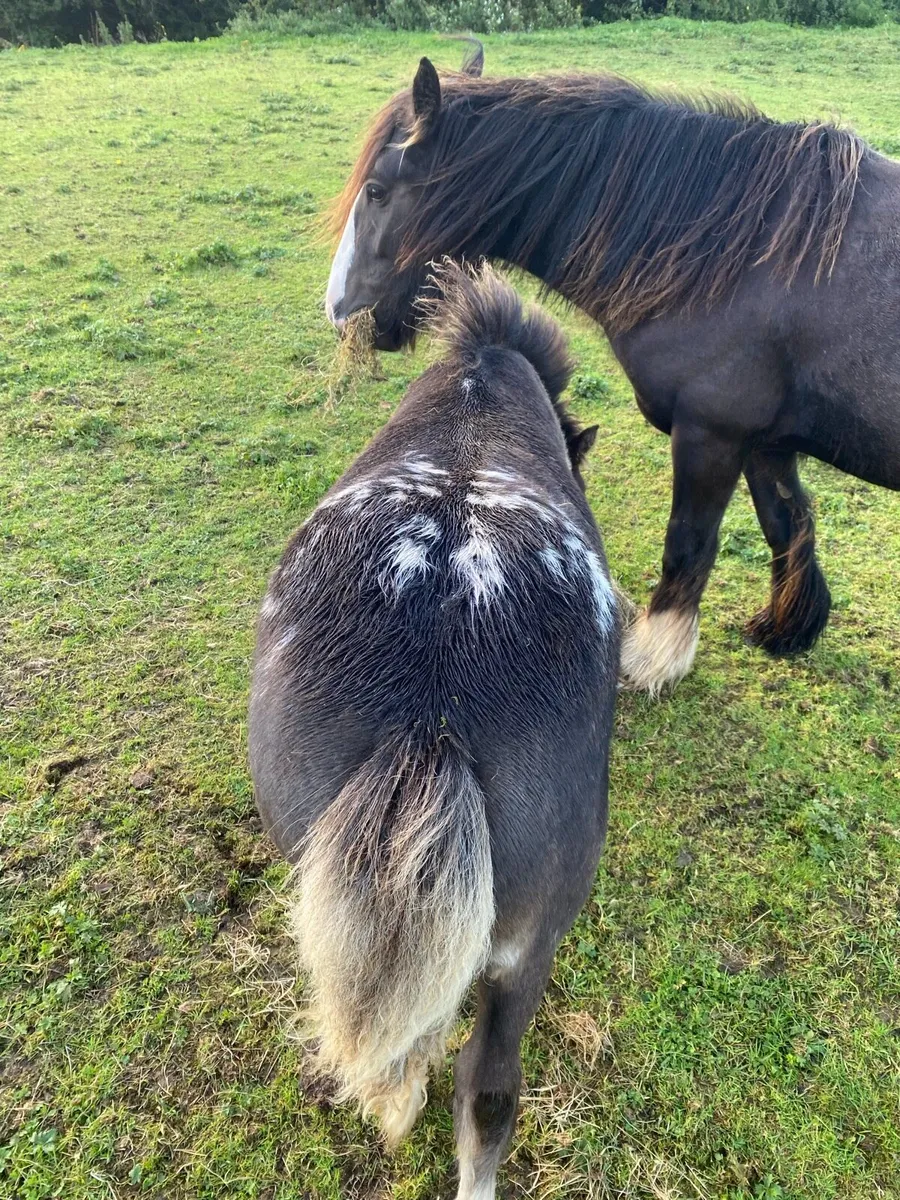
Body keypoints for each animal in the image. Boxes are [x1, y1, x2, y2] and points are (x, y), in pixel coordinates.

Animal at [324, 48, 900, 695]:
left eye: (377, 191)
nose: (338, 311)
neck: (745, 256)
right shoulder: (767, 442)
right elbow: (787, 524)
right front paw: (785, 631)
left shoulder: (712, 435)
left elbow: (689, 543)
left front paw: (652, 658)